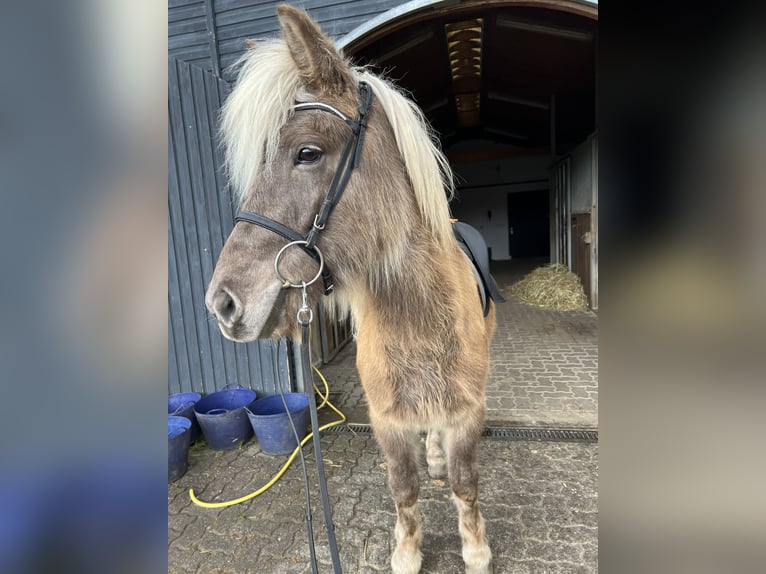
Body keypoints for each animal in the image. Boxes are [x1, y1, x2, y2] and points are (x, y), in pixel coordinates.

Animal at [206, 5, 498, 574]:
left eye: (307, 152)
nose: (221, 304)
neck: (417, 319)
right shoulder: (386, 418)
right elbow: (403, 488)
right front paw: (406, 551)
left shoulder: (466, 412)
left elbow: (466, 482)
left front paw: (476, 549)